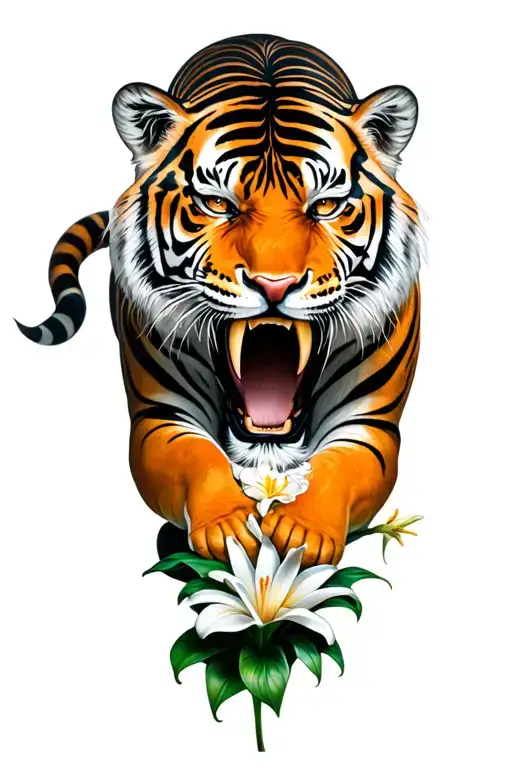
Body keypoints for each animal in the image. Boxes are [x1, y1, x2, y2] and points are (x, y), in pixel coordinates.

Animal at [16, 33, 423, 568]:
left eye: (326, 206)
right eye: (217, 204)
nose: (275, 284)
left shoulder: (371, 423)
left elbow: (339, 466)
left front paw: (302, 531)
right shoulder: (158, 415)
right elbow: (198, 456)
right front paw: (229, 527)